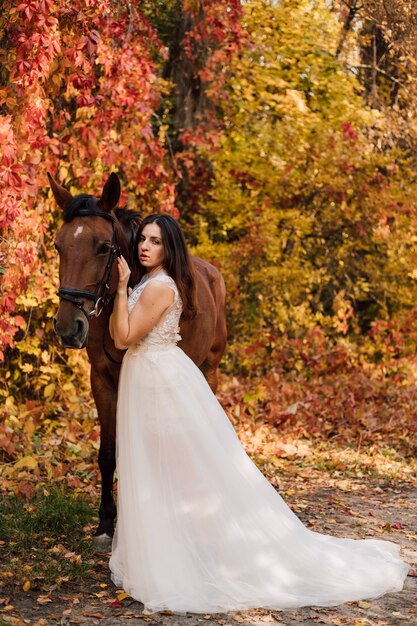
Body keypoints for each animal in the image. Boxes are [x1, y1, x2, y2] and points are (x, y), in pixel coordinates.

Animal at [49, 171, 228, 544]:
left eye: (104, 247)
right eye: (59, 245)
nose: (67, 327)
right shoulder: (101, 379)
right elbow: (107, 454)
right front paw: (106, 523)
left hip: (210, 368)